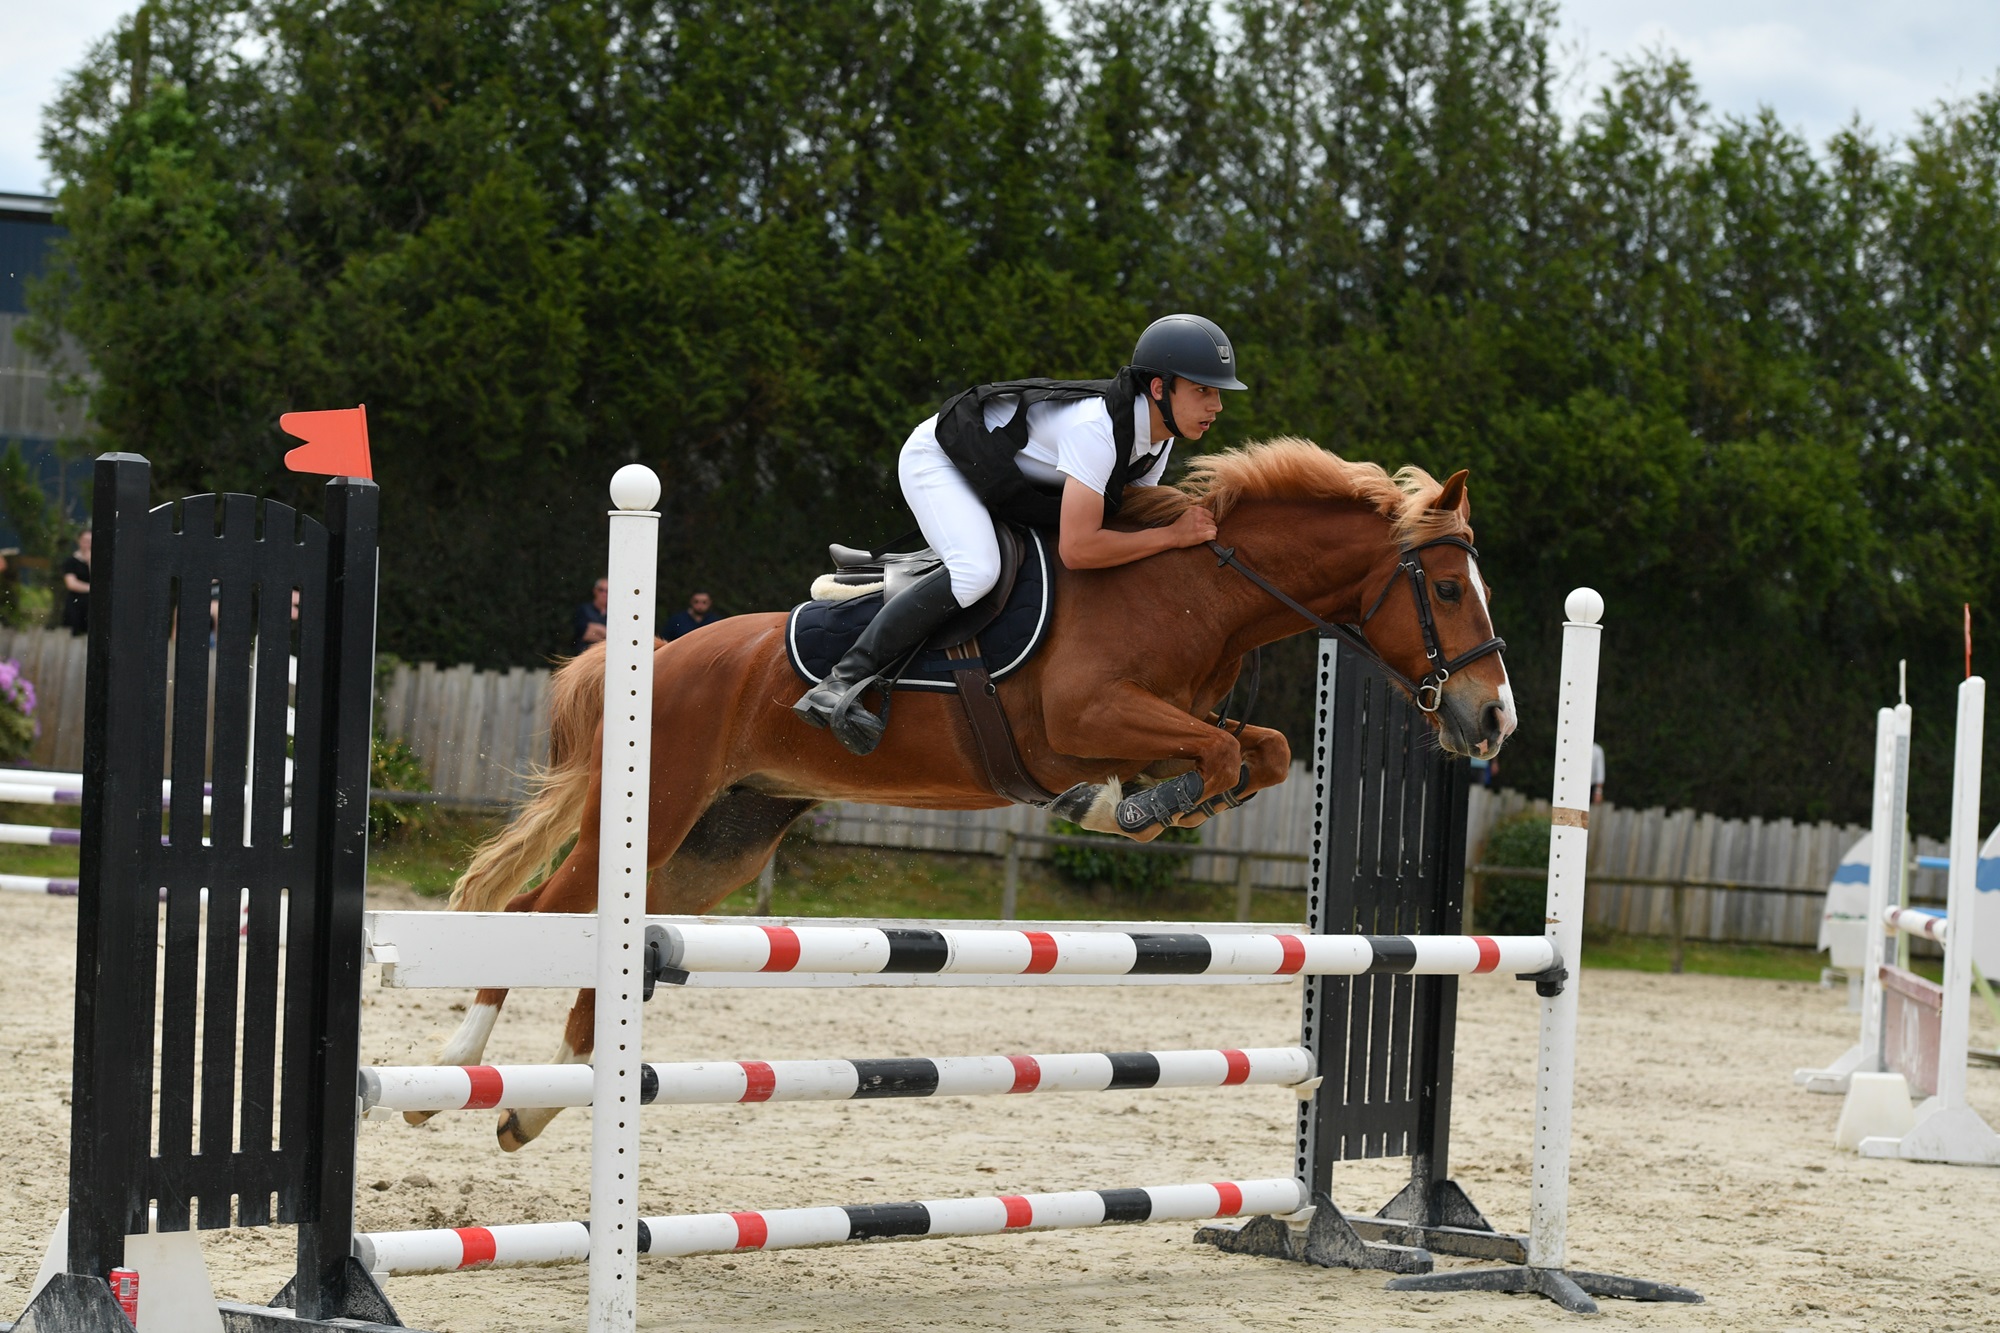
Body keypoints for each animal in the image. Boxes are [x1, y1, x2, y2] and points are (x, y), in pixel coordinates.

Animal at [422, 436, 1512, 1144]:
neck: (1192, 587)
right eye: (1445, 589)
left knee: (614, 929)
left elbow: (1265, 753)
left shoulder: (1172, 723)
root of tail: (654, 652)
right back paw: (450, 1080)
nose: (1491, 720)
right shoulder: (1086, 718)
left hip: (721, 838)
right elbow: (1213, 755)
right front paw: (1129, 809)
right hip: (655, 805)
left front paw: (1139, 807)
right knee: (537, 912)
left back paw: (535, 1102)